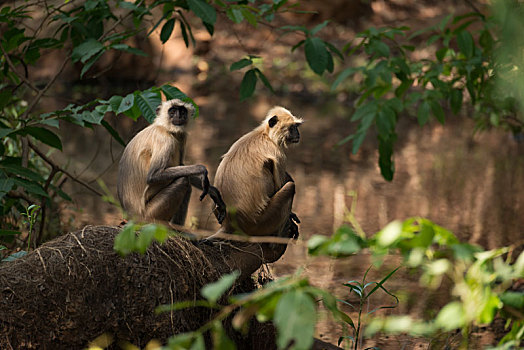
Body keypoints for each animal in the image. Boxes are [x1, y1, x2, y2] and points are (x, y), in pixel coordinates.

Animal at [214, 106, 302, 238]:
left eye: (296, 127)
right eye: (292, 127)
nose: (298, 133)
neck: (265, 134)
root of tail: (229, 223)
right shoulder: (278, 153)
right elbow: (279, 185)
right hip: (259, 223)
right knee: (290, 187)